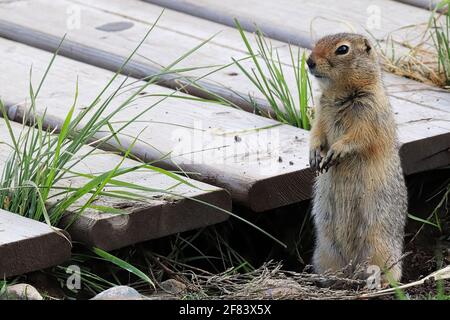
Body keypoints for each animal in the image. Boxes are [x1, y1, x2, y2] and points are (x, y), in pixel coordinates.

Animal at [306, 33, 408, 282]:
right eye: (318, 41)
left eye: (343, 49)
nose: (309, 61)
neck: (339, 94)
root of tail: (352, 268)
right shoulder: (320, 113)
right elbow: (316, 132)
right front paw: (315, 155)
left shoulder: (370, 113)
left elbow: (359, 136)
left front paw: (336, 151)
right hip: (325, 249)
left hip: (379, 246)